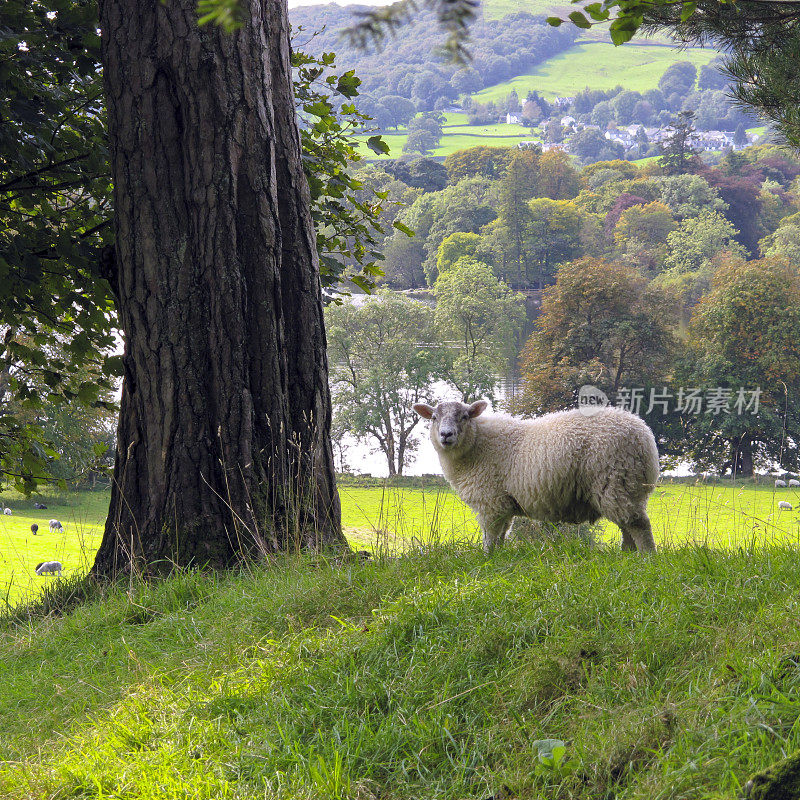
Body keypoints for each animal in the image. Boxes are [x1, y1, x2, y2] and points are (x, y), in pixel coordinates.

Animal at [416, 404, 660, 552]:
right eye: (434, 417)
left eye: (464, 416)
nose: (446, 435)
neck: (478, 444)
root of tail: (645, 436)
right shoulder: (504, 502)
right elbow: (503, 532)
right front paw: (498, 556)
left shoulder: (490, 501)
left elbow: (490, 535)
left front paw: (486, 557)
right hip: (627, 487)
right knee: (627, 526)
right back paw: (627, 555)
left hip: (615, 481)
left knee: (639, 524)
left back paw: (647, 557)